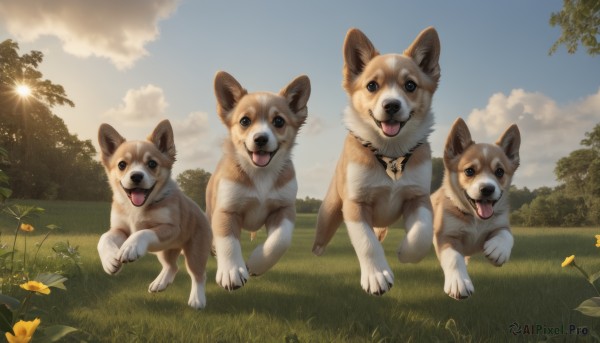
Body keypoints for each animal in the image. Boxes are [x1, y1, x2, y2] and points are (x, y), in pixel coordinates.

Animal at [97, 120, 212, 310]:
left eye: (152, 164)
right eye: (122, 165)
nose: (136, 176)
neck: (137, 209)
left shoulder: (171, 228)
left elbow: (144, 231)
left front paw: (130, 247)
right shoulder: (121, 229)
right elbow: (104, 238)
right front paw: (109, 260)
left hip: (195, 251)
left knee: (197, 274)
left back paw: (197, 299)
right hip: (164, 250)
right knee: (172, 266)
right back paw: (160, 283)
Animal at [206, 71, 310, 292]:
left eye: (278, 121)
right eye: (245, 121)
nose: (261, 138)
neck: (261, 174)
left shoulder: (284, 208)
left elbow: (281, 240)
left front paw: (256, 263)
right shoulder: (226, 210)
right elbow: (228, 241)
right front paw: (231, 271)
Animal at [314, 26, 440, 296]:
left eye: (410, 85)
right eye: (372, 86)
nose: (391, 105)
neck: (391, 155)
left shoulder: (418, 197)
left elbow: (422, 231)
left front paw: (406, 252)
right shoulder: (355, 203)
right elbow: (366, 241)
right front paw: (376, 276)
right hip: (330, 209)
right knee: (325, 232)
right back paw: (317, 251)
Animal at [432, 119, 520, 300]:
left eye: (499, 172)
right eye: (469, 171)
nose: (487, 189)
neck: (476, 221)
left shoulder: (501, 224)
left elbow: (507, 235)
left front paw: (498, 249)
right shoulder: (445, 236)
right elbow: (453, 258)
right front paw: (459, 282)